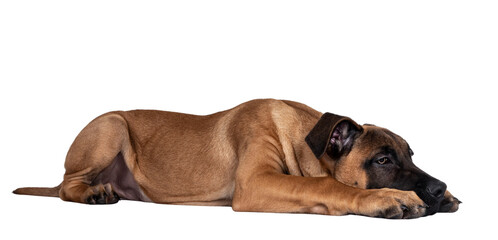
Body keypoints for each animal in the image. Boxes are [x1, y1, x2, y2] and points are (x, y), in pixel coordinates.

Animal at [13, 98, 462, 218]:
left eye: (410, 155)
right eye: (383, 161)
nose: (438, 187)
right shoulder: (256, 182)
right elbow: (325, 184)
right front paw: (387, 198)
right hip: (111, 126)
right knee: (66, 187)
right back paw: (93, 193)